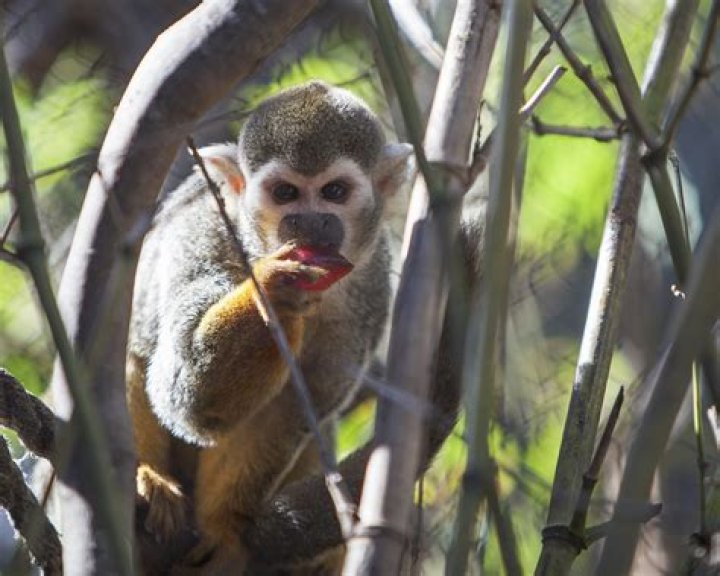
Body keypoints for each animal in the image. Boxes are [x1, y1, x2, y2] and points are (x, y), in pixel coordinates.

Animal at [127, 81, 415, 572]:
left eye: (334, 191)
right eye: (285, 193)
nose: (309, 222)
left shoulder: (373, 288)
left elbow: (294, 407)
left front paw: (225, 528)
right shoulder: (202, 228)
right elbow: (186, 394)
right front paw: (275, 291)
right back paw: (149, 477)